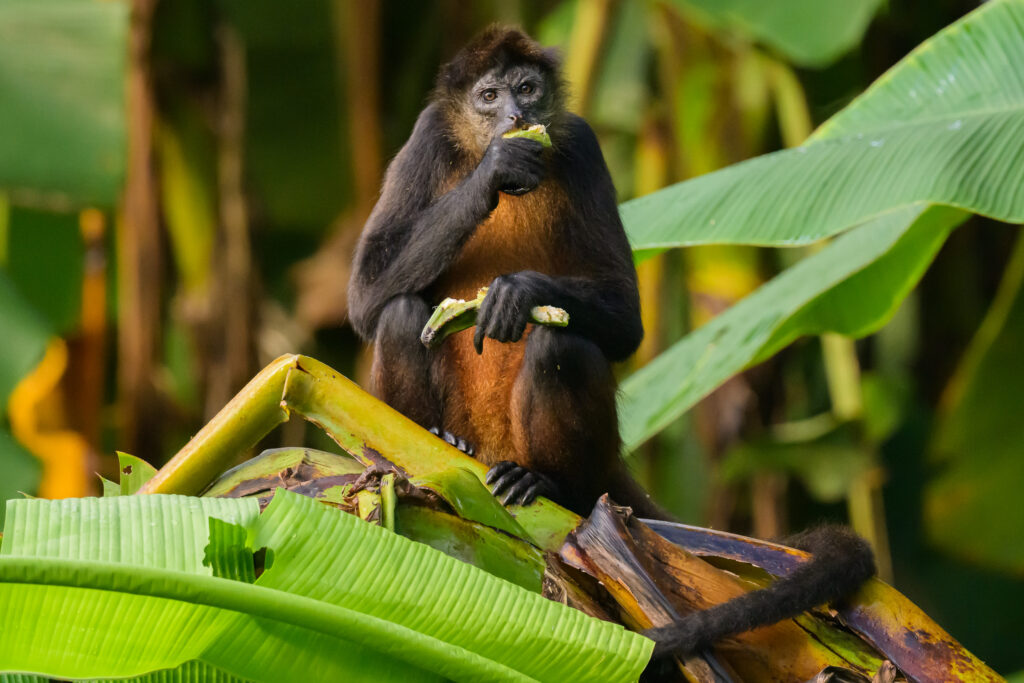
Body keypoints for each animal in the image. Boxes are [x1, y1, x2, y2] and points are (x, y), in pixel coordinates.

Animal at [347, 25, 876, 659]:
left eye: (527, 88)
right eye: (489, 96)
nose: (518, 116)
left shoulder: (582, 143)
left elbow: (625, 320)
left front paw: (520, 291)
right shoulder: (429, 134)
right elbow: (365, 295)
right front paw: (495, 169)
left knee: (561, 347)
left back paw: (547, 482)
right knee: (401, 311)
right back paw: (435, 438)